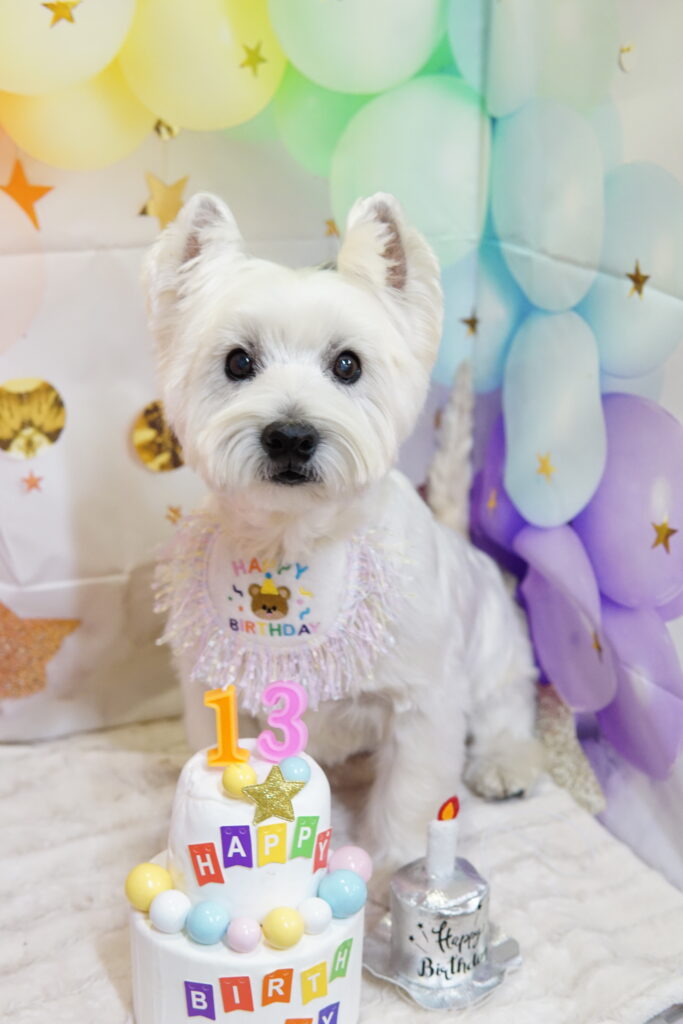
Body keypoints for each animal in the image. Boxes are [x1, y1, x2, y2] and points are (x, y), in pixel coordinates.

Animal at [144, 191, 541, 877]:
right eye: (238, 361)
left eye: (347, 364)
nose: (290, 435)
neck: (291, 547)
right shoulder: (214, 688)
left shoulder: (423, 701)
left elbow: (411, 793)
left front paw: (402, 866)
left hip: (493, 643)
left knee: (506, 705)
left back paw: (504, 763)